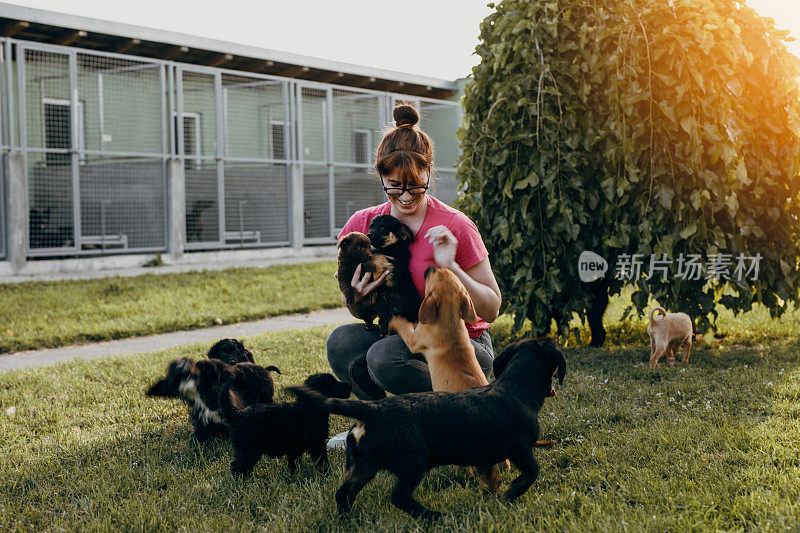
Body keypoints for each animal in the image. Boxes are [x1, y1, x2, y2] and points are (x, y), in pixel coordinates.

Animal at [222, 370, 354, 478]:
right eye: (331, 383)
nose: (350, 384)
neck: (307, 409)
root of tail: (238, 414)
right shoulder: (317, 444)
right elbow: (322, 461)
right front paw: (328, 474)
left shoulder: (295, 449)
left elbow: (294, 464)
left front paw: (295, 476)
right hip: (249, 448)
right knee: (237, 466)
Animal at [290, 338, 564, 516]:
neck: (516, 387)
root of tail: (373, 409)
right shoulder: (519, 447)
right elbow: (531, 472)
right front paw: (512, 494)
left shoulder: (483, 459)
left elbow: (490, 482)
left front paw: (492, 502)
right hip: (414, 460)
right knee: (398, 497)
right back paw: (432, 516)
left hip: (363, 464)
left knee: (344, 492)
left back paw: (346, 519)